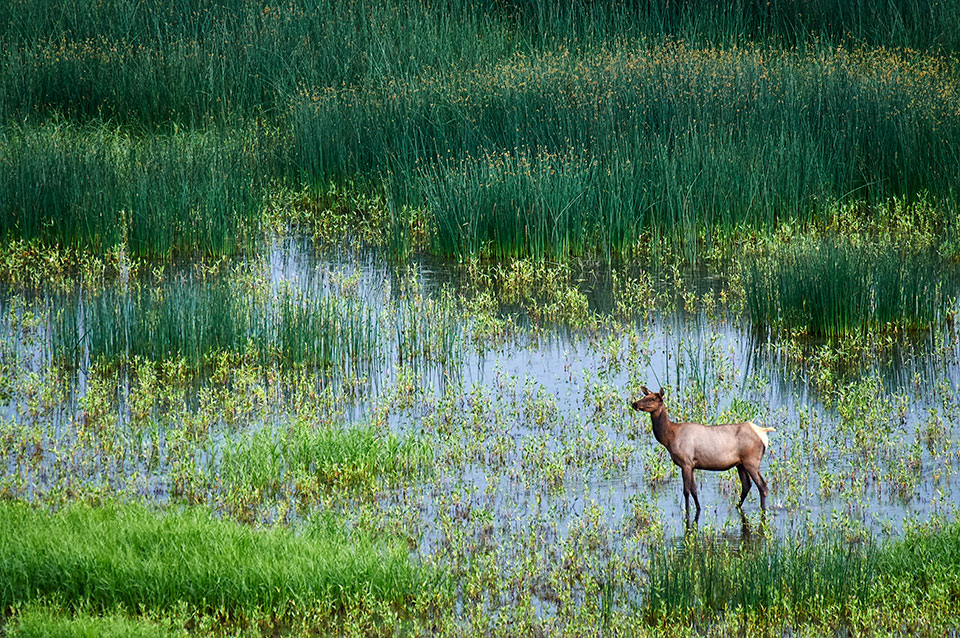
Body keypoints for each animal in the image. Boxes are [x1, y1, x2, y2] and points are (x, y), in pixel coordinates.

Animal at [632, 384, 772, 524]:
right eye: (645, 396)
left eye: (652, 399)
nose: (634, 404)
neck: (669, 438)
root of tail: (763, 432)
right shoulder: (692, 465)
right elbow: (694, 490)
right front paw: (698, 508)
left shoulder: (686, 462)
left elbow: (686, 491)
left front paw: (687, 513)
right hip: (740, 464)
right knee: (747, 485)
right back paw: (737, 506)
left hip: (751, 461)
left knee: (762, 486)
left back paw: (763, 510)